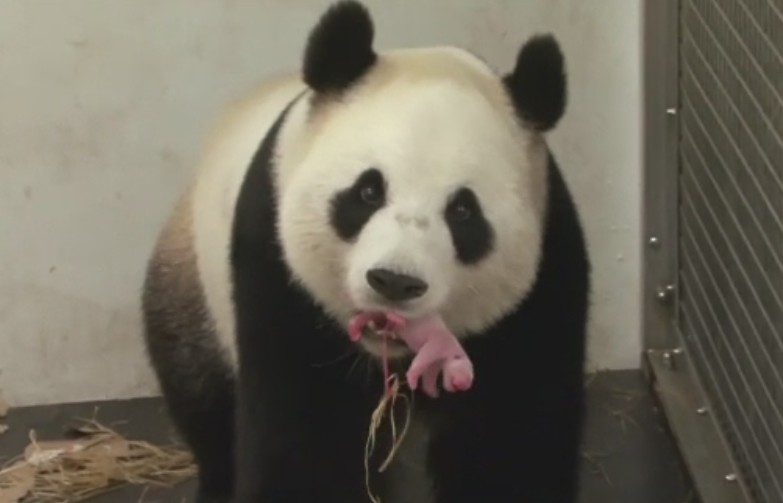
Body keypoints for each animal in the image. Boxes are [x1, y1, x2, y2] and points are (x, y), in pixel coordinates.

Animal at [140, 2, 590, 503]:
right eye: (368, 191)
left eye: (463, 211)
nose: (395, 281)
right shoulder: (278, 270)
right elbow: (306, 437)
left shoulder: (543, 281)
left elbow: (513, 440)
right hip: (193, 281)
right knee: (201, 394)